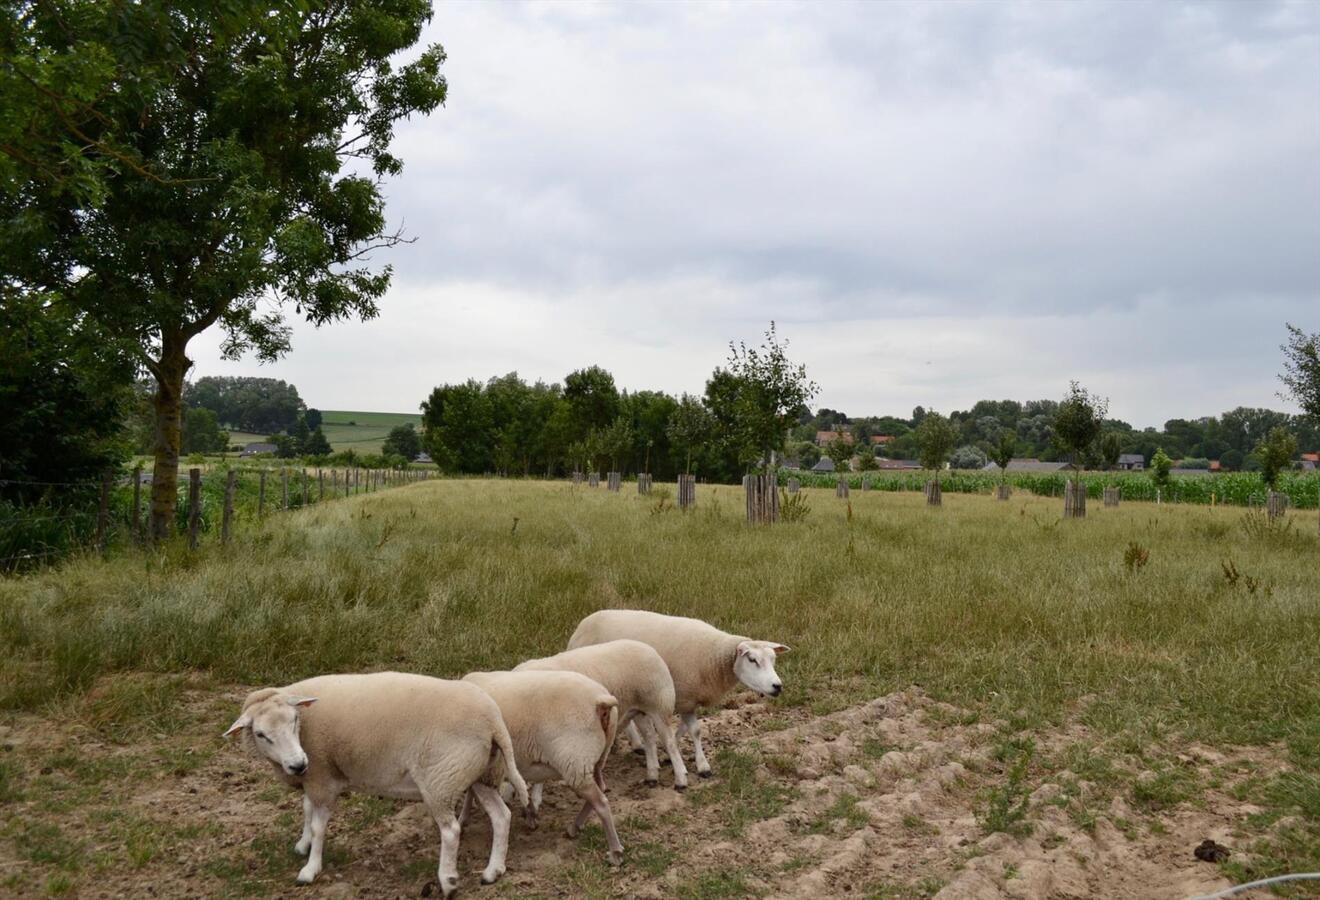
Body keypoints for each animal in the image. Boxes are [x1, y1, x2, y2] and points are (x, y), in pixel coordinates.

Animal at [221, 670, 525, 892]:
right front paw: (303, 844)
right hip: (478, 773)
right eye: (261, 734)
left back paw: (448, 880)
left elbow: (319, 826)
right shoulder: (314, 775)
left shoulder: (322, 776)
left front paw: (310, 868)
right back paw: (493, 871)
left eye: (295, 720)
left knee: (451, 831)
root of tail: (494, 720)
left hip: (440, 779)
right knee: (502, 817)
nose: (297, 764)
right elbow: (306, 810)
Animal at [464, 665, 628, 860]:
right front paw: (530, 814)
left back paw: (615, 852)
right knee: (600, 789)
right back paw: (574, 828)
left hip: (574, 761)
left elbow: (469, 793)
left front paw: (463, 819)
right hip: (595, 759)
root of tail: (601, 700)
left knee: (601, 803)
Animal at [512, 633, 691, 786]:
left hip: (659, 704)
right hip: (638, 709)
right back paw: (652, 775)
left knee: (669, 742)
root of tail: (649, 648)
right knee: (649, 736)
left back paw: (680, 779)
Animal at [564, 609, 786, 775]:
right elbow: (694, 730)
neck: (713, 655)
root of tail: (584, 622)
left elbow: (684, 729)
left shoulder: (687, 699)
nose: (778, 686)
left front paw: (670, 754)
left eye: (773, 659)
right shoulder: (681, 697)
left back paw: (636, 744)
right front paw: (702, 765)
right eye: (752, 660)